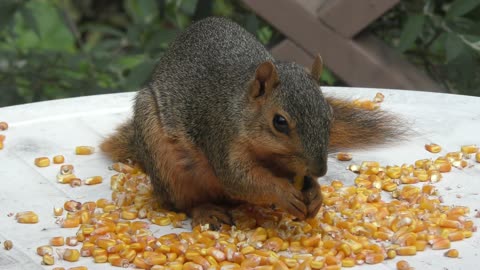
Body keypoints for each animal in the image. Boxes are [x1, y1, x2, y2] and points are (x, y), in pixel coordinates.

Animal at [101, 16, 402, 228]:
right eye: (279, 122)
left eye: (329, 115)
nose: (320, 170)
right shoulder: (220, 135)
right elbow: (239, 178)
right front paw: (283, 193)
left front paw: (315, 193)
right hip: (163, 161)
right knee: (181, 202)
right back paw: (206, 211)